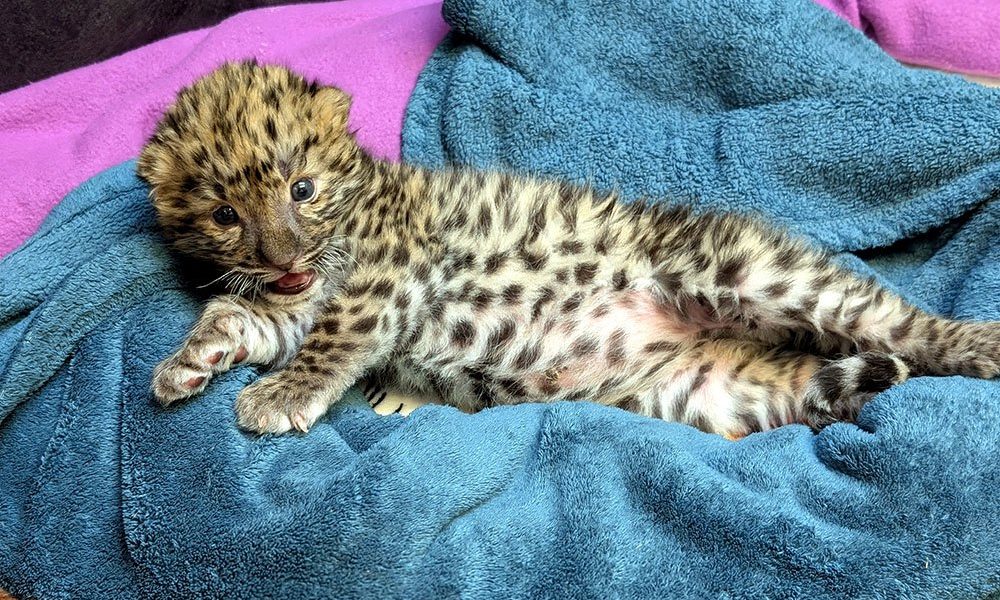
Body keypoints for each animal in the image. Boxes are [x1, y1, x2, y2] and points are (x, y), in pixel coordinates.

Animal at [137, 61, 1000, 438]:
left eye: (303, 188)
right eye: (224, 214)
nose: (282, 257)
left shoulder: (386, 276)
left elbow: (332, 337)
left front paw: (278, 396)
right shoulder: (290, 303)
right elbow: (242, 317)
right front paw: (190, 361)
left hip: (752, 271)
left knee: (899, 323)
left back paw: (979, 345)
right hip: (704, 394)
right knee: (824, 386)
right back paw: (851, 394)